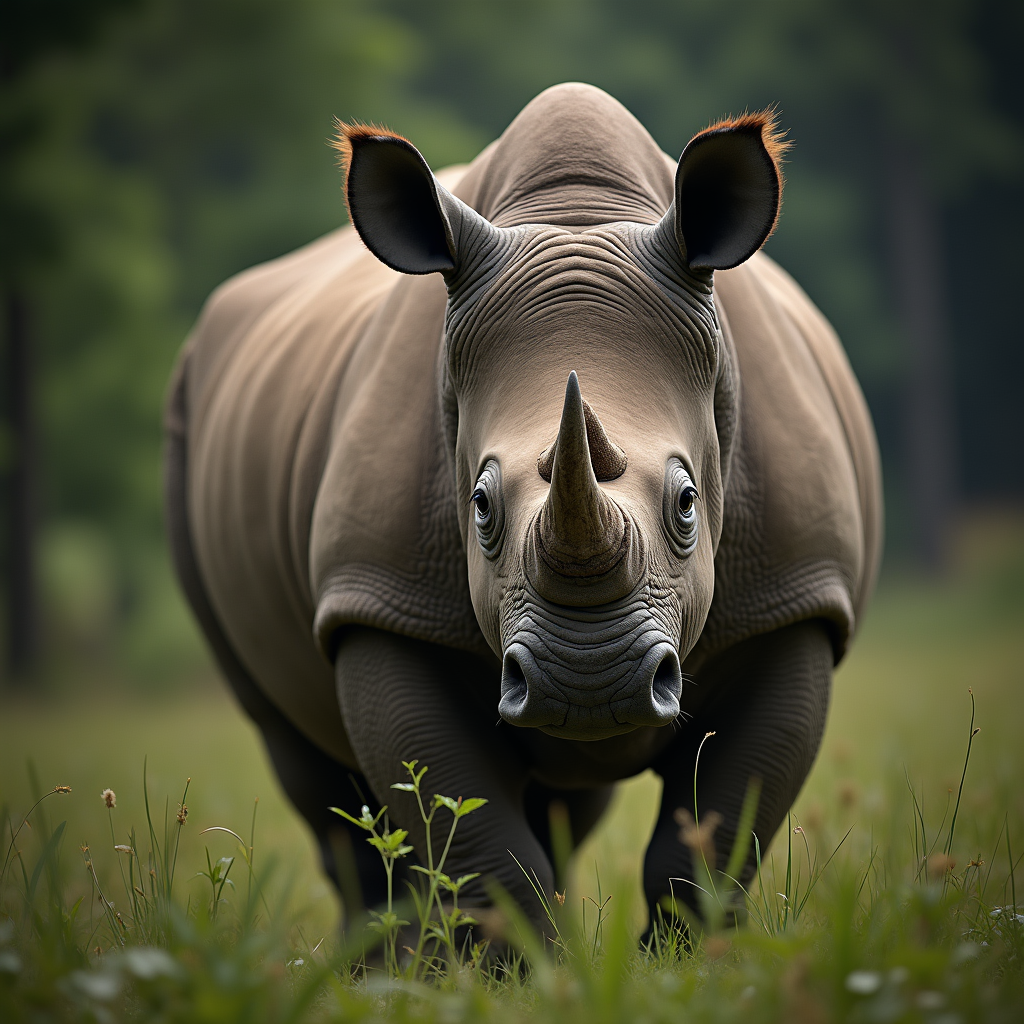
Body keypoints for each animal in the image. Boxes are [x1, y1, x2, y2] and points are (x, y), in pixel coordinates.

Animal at [165, 83, 881, 931]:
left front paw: (696, 952)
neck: (579, 214)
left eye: (688, 503)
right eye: (478, 506)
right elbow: (486, 853)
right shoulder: (378, 599)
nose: (590, 681)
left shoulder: (794, 598)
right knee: (307, 768)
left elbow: (712, 845)